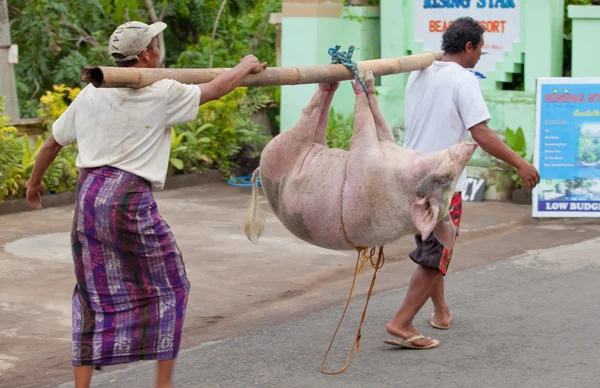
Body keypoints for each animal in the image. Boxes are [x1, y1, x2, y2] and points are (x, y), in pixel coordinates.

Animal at [245, 69, 478, 252]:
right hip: (311, 143)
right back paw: (333, 81)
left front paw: (362, 80)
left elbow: (363, 125)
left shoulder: (365, 155)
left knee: (309, 116)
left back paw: (330, 85)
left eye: (446, 180)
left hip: (284, 148)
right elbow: (380, 122)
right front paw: (369, 80)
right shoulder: (385, 143)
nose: (473, 145)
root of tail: (259, 166)